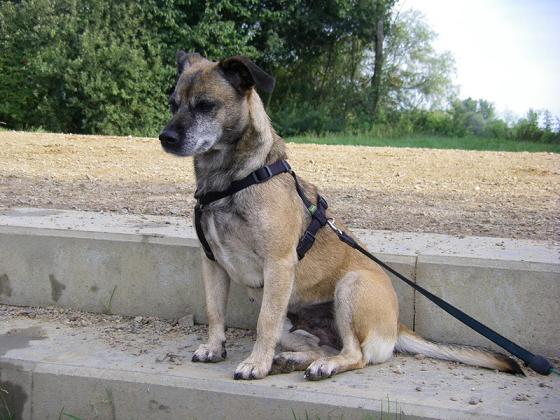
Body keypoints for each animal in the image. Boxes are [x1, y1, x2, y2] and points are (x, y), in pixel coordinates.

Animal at [158, 51, 522, 380]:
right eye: (173, 105)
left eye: (206, 105)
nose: (165, 138)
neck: (233, 179)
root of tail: (397, 325)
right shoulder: (213, 264)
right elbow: (214, 311)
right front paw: (214, 347)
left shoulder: (278, 265)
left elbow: (264, 323)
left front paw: (256, 364)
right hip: (294, 324)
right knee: (318, 347)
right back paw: (289, 360)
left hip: (350, 287)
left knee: (355, 355)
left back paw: (321, 366)